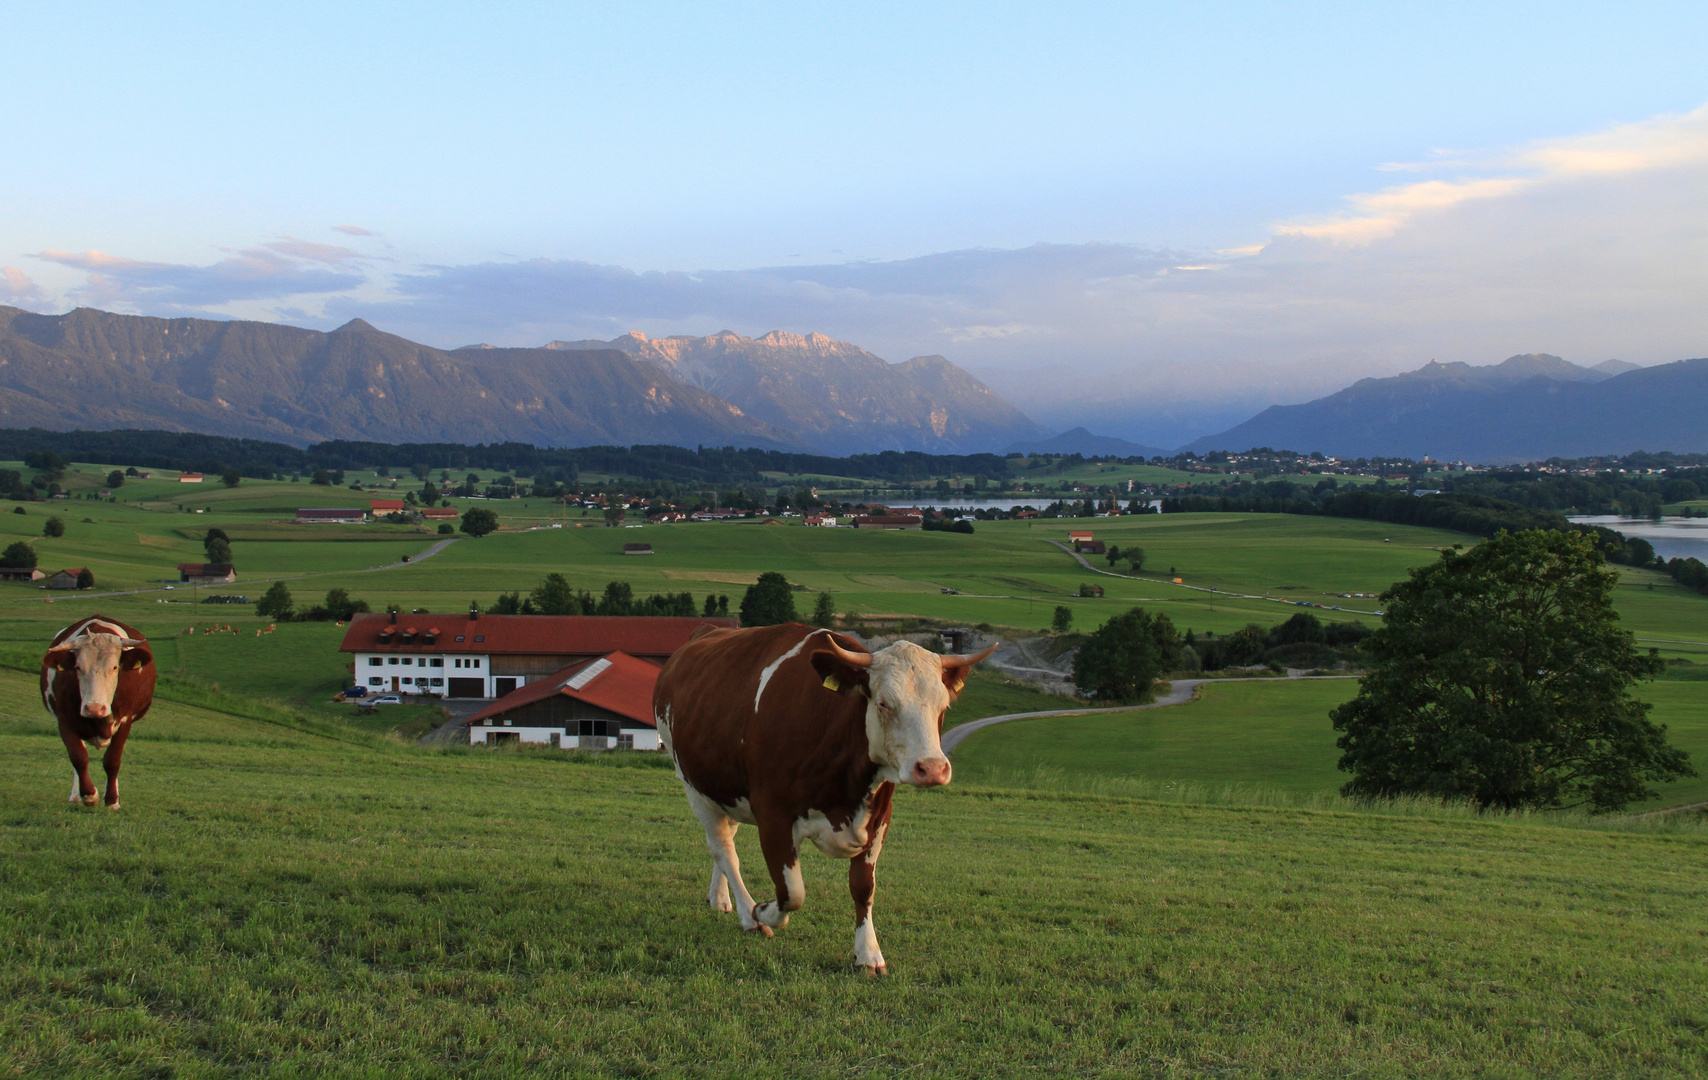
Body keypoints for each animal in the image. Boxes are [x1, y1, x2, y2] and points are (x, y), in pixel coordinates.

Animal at [42, 615, 157, 810]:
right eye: (78, 667)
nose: (94, 708)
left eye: (115, 667)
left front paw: (111, 800)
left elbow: (112, 760)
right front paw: (89, 795)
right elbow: (78, 757)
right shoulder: (64, 721)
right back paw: (76, 796)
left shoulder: (125, 720)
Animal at [655, 618, 997, 977]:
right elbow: (792, 892)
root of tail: (706, 631)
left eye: (943, 707)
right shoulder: (772, 815)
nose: (931, 768)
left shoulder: (879, 817)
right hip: (692, 783)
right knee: (723, 848)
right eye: (883, 703)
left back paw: (719, 897)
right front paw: (762, 912)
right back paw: (748, 915)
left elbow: (863, 887)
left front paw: (868, 954)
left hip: (727, 787)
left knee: (726, 838)